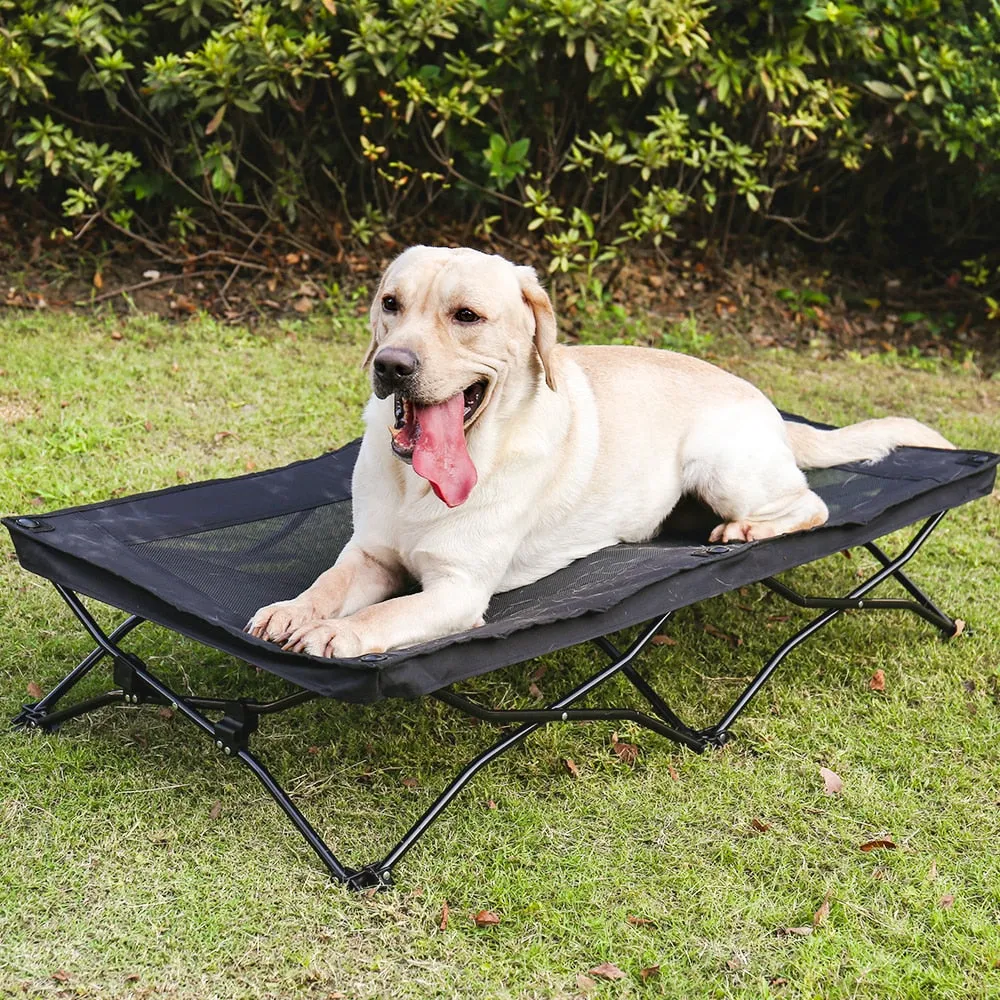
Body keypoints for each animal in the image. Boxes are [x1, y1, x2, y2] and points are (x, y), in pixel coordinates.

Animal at [248, 246, 952, 660]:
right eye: (390, 305)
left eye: (467, 315)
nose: (391, 366)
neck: (420, 483)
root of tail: (768, 401)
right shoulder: (368, 554)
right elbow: (327, 584)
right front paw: (295, 612)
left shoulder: (456, 591)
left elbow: (383, 615)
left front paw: (335, 632)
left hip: (721, 465)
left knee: (812, 505)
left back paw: (749, 528)